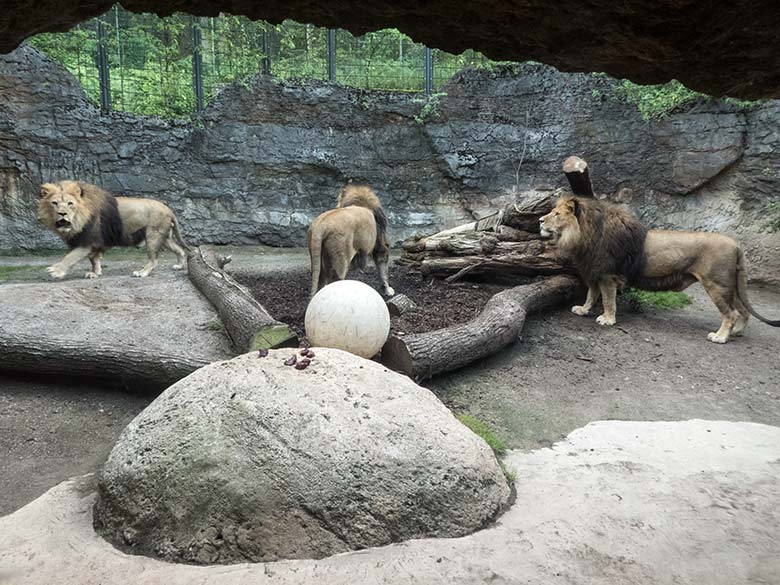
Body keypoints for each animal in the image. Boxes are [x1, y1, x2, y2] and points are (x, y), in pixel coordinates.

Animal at [38, 179, 191, 280]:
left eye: (70, 204)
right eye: (54, 203)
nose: (62, 213)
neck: (79, 219)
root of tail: (168, 209)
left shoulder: (88, 241)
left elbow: (71, 256)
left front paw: (56, 270)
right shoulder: (93, 242)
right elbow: (93, 259)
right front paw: (95, 273)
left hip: (153, 235)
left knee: (154, 260)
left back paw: (142, 273)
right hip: (163, 236)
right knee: (179, 249)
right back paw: (179, 265)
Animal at [544, 192, 780, 342]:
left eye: (556, 214)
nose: (539, 221)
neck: (586, 235)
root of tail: (736, 244)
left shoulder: (608, 275)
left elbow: (609, 300)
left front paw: (607, 320)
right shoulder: (594, 270)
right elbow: (591, 295)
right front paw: (583, 310)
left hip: (716, 284)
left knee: (731, 313)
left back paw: (720, 337)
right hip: (731, 286)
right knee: (743, 311)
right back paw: (736, 333)